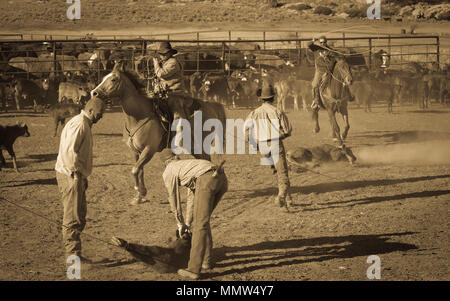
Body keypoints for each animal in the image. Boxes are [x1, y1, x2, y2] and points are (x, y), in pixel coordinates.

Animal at [90, 62, 229, 204]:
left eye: (113, 79)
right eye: (103, 78)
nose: (94, 92)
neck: (139, 116)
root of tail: (212, 105)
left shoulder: (149, 150)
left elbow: (134, 170)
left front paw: (140, 191)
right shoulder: (135, 151)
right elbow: (139, 170)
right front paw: (139, 196)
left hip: (198, 144)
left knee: (207, 160)